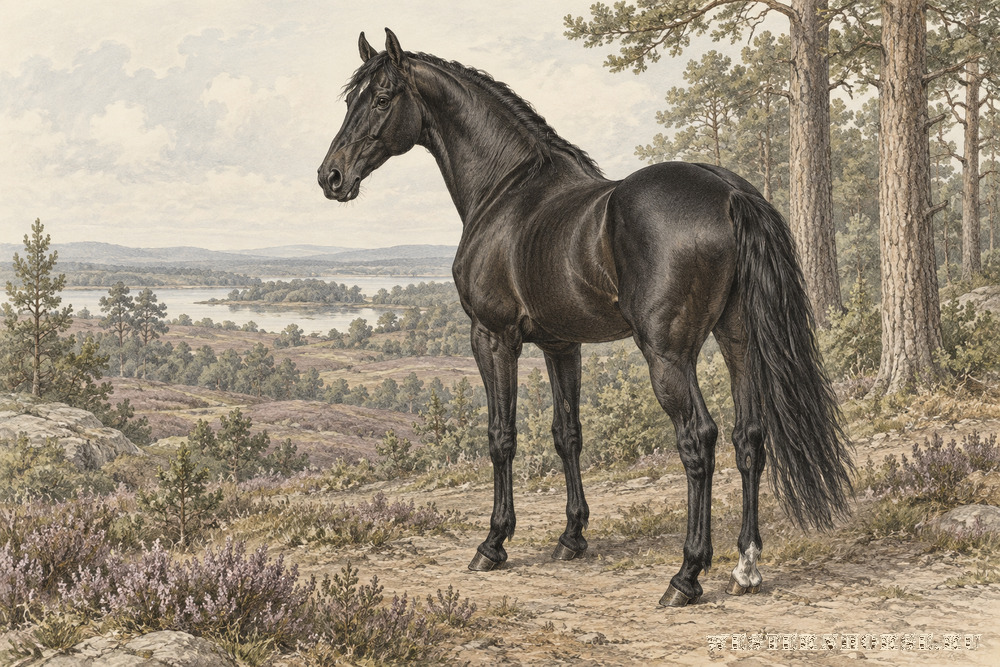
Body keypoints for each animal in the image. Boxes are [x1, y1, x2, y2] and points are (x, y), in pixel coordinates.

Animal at [317, 28, 853, 607]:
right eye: (348, 101)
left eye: (381, 98)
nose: (331, 176)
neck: (506, 191)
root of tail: (731, 193)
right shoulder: (561, 345)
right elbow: (567, 433)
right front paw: (571, 537)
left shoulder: (492, 337)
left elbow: (501, 436)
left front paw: (493, 544)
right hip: (737, 341)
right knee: (748, 437)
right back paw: (746, 567)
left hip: (668, 355)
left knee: (698, 441)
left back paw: (686, 575)